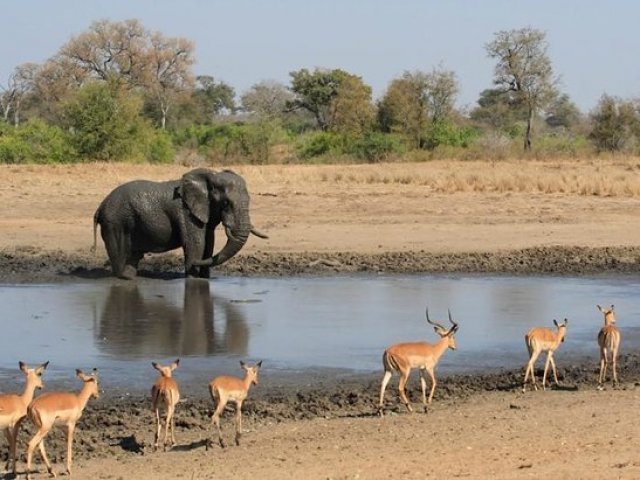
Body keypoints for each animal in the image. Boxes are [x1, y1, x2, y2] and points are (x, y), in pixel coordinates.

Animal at [92, 168, 268, 278]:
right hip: (115, 223)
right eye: (225, 203)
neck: (211, 176)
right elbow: (196, 244)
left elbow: (208, 244)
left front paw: (204, 278)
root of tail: (99, 207)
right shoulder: (186, 212)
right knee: (119, 258)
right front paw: (193, 278)